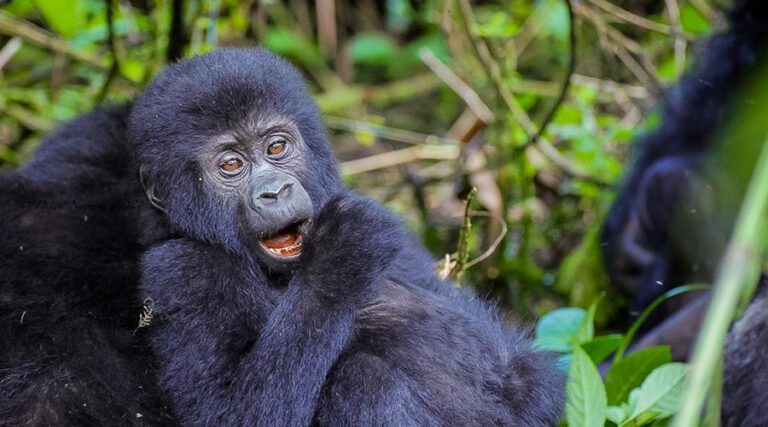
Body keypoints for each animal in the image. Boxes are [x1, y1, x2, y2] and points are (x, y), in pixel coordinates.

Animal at [132, 48, 564, 426]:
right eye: (231, 165)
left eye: (276, 146)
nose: (274, 191)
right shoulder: (181, 270)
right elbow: (231, 416)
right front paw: (339, 260)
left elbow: (518, 367)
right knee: (364, 379)